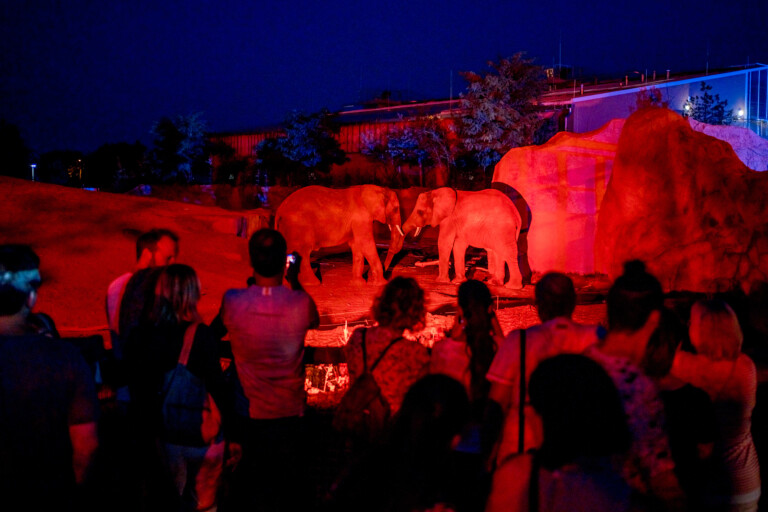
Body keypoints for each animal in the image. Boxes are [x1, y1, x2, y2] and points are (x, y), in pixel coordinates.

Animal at [275, 185, 405, 285]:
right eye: (396, 209)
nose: (385, 271)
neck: (379, 189)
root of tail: (279, 210)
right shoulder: (361, 218)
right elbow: (365, 243)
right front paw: (381, 284)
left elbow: (356, 245)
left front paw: (358, 284)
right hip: (299, 227)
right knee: (303, 253)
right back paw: (313, 283)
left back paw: (287, 284)